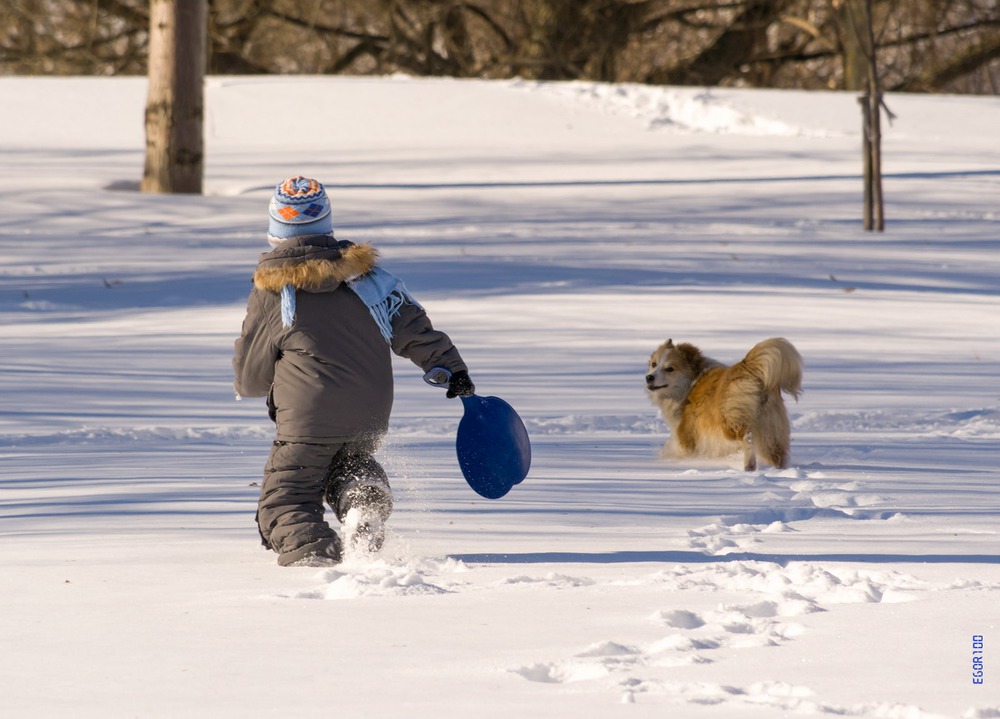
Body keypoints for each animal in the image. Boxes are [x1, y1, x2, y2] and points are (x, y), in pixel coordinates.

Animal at [648, 338, 804, 472]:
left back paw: (749, 465)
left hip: (730, 421)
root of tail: (748, 367)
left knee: (747, 438)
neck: (690, 384)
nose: (648, 377)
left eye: (670, 369)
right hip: (771, 427)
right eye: (654, 364)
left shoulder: (688, 436)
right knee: (776, 453)